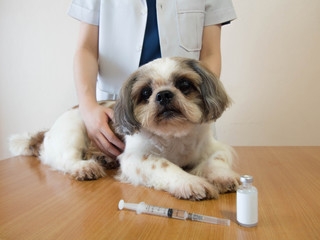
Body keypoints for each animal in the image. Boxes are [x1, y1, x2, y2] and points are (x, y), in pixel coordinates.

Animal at [10, 58, 239, 201]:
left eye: (184, 84)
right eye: (146, 93)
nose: (163, 95)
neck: (173, 136)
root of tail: (46, 132)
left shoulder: (214, 148)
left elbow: (217, 160)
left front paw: (223, 176)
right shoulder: (136, 159)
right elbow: (165, 165)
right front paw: (190, 182)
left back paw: (103, 159)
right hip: (73, 129)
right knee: (66, 159)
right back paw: (85, 167)